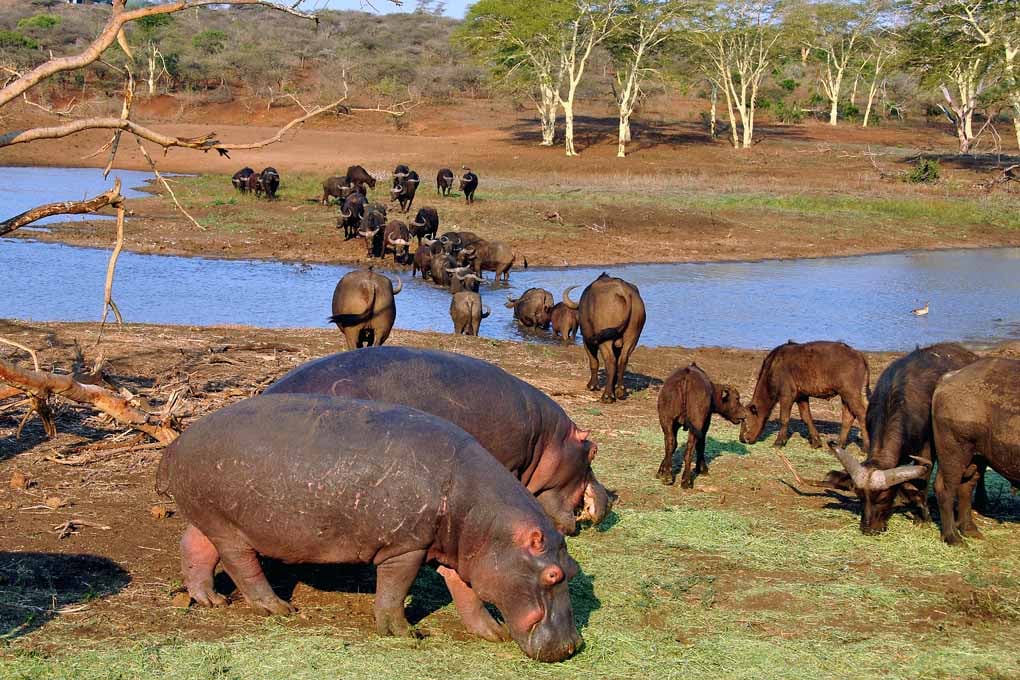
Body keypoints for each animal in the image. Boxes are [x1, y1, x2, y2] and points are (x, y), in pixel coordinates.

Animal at [157, 395, 581, 662]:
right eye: (553, 574)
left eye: (573, 569)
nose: (573, 646)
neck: (487, 519)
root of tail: (175, 444)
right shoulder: (406, 548)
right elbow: (394, 592)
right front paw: (407, 634)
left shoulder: (460, 554)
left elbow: (468, 595)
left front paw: (493, 633)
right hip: (230, 528)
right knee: (241, 565)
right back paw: (280, 608)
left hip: (210, 517)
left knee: (193, 546)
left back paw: (211, 600)